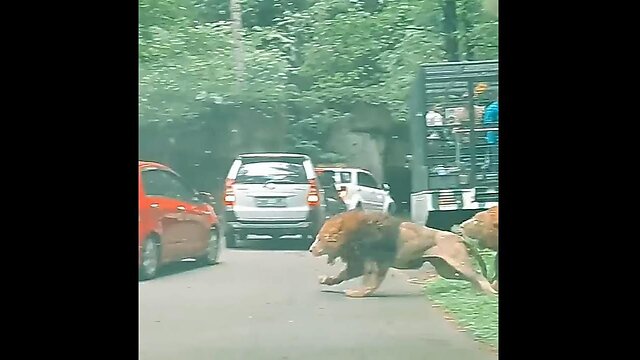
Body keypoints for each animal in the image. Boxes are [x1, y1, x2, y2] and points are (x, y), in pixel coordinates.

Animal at [308, 210, 496, 296]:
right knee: (468, 277)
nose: (310, 249)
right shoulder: (358, 263)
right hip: (445, 269)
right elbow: (341, 275)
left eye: (321, 239)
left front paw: (359, 293)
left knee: (477, 274)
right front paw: (326, 280)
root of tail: (457, 237)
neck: (352, 237)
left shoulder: (374, 263)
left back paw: (489, 291)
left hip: (458, 262)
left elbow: (370, 281)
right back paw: (477, 289)